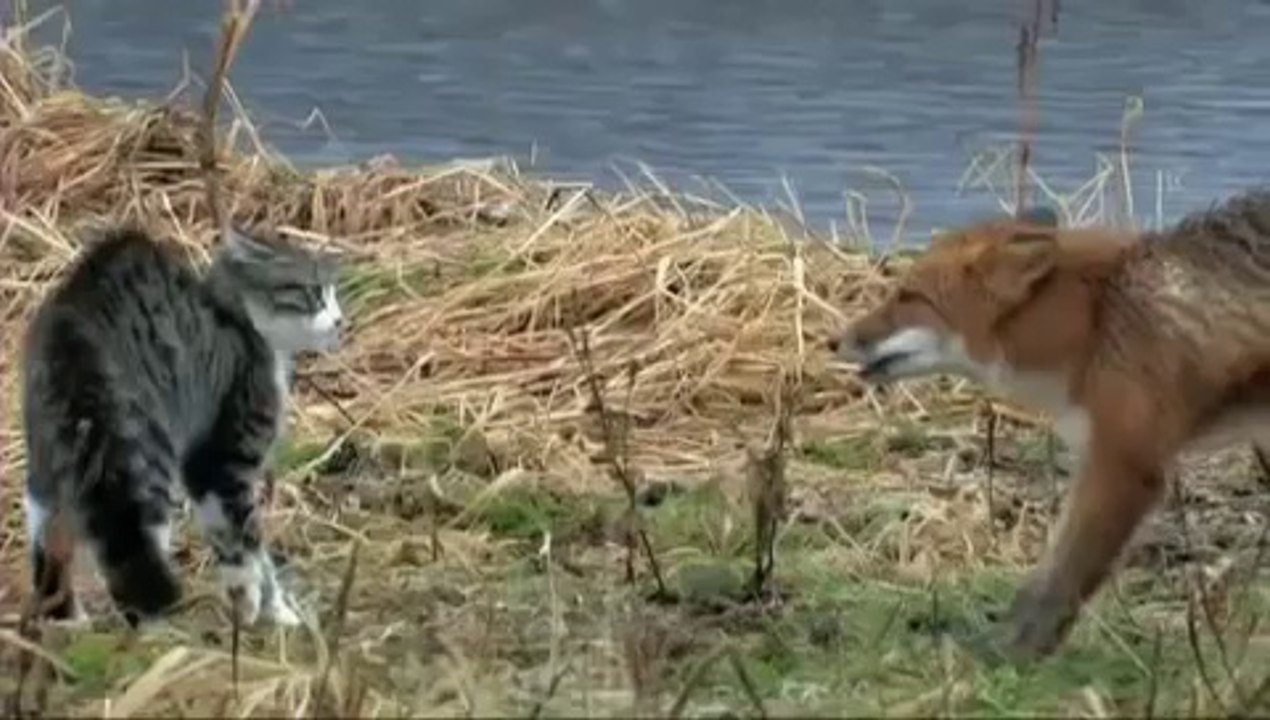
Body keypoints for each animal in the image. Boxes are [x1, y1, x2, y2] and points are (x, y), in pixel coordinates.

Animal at [830, 191, 1270, 661]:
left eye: (909, 295)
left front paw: (1012, 655)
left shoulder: (1123, 465)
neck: (1097, 318)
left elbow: (1055, 584)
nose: (833, 340)